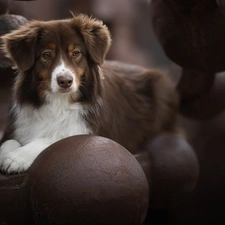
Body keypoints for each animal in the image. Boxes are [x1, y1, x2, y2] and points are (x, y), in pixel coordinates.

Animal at [0, 14, 179, 173]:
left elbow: (51, 138)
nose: (65, 81)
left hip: (161, 90)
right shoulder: (19, 125)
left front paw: (16, 157)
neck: (59, 102)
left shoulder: (83, 130)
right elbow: (8, 141)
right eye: (46, 54)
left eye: (76, 53)